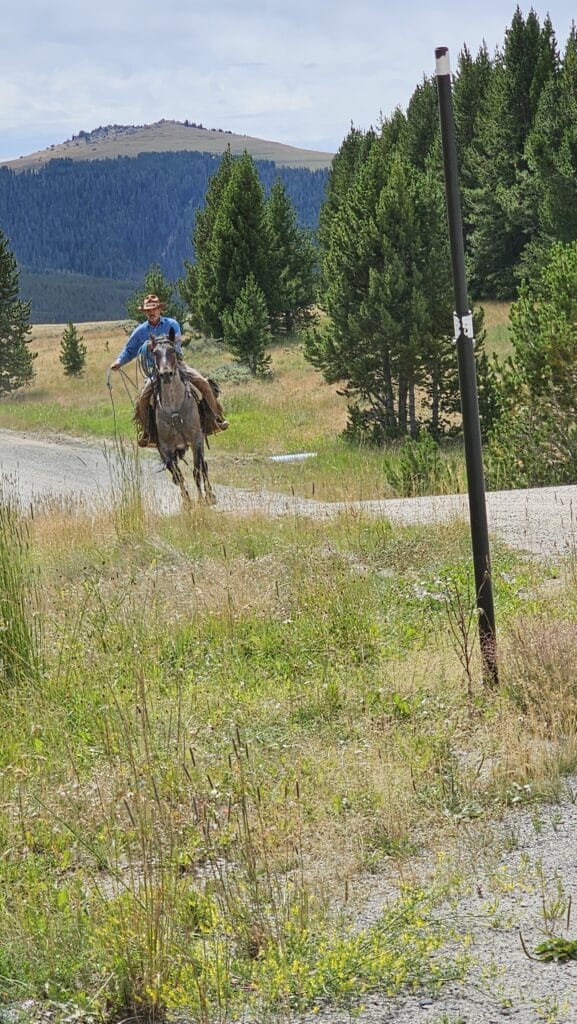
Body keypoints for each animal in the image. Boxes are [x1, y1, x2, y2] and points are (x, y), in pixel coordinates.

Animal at [151, 331, 217, 503]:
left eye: (172, 350)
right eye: (154, 353)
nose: (166, 374)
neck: (175, 409)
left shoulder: (196, 440)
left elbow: (197, 471)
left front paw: (201, 500)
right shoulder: (166, 449)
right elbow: (178, 475)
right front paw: (187, 502)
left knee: (203, 467)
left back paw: (210, 495)